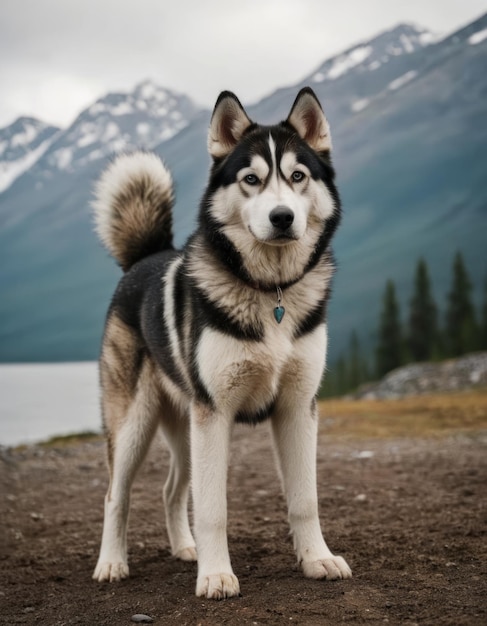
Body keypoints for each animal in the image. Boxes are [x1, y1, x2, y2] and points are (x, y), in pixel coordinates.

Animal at [90, 86, 350, 596]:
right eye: (251, 179)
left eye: (298, 176)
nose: (282, 216)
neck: (271, 293)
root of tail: (144, 258)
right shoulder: (216, 413)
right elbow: (213, 508)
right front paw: (215, 574)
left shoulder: (298, 406)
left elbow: (304, 499)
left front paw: (317, 559)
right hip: (135, 424)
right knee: (115, 494)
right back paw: (111, 563)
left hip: (184, 424)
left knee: (172, 490)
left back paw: (184, 548)